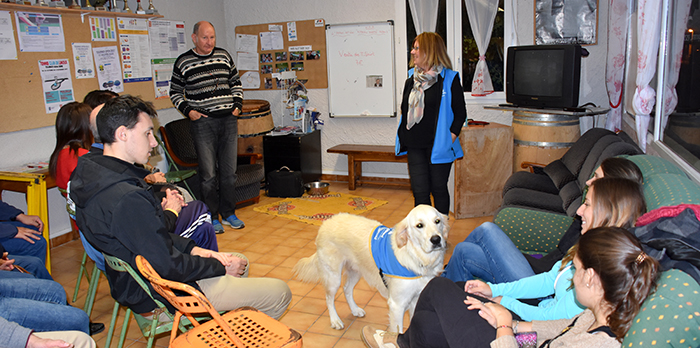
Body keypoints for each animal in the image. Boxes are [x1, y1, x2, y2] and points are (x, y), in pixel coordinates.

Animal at [292, 205, 446, 334]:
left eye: (437, 221)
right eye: (419, 225)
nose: (436, 239)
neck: (417, 257)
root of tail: (326, 222)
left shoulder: (417, 298)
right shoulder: (397, 304)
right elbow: (397, 332)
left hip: (355, 271)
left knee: (347, 289)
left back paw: (355, 309)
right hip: (333, 277)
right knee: (329, 298)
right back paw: (335, 320)